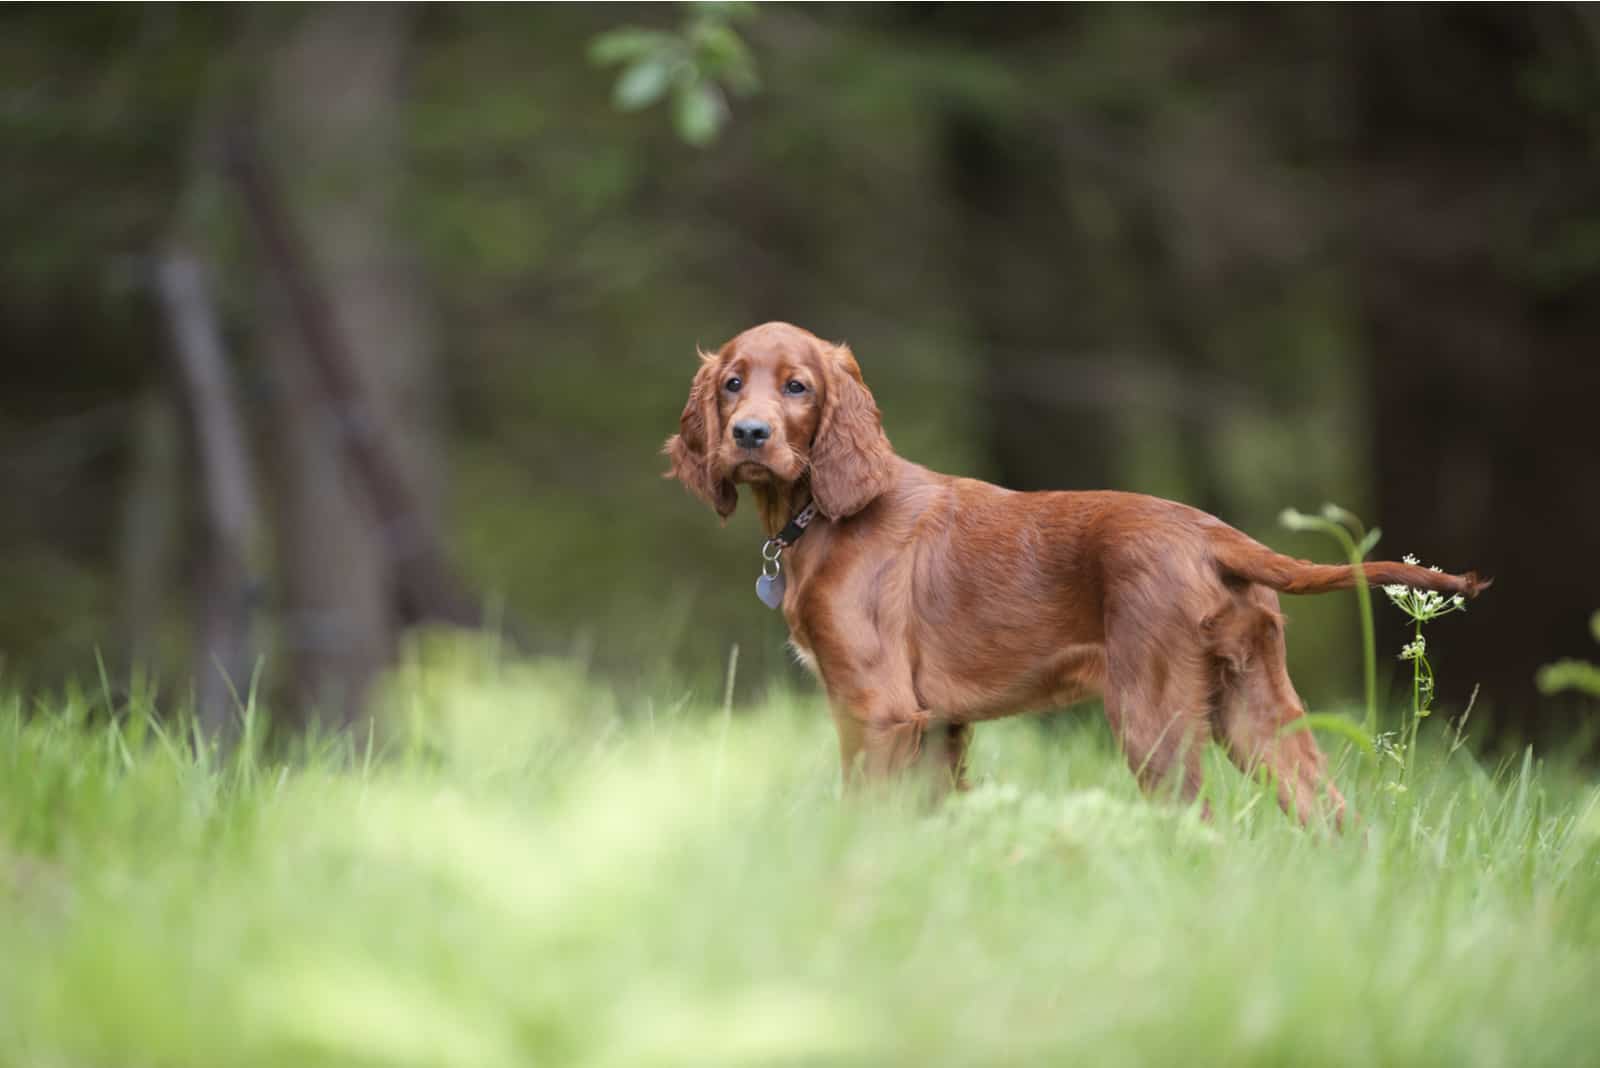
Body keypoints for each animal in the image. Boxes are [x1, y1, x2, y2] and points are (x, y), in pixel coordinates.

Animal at [662, 321, 1484, 824]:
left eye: (797, 386)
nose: (749, 435)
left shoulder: (878, 709)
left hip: (1153, 718)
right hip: (1257, 710)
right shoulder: (937, 725)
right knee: (1336, 817)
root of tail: (1215, 534)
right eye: (732, 383)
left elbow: (860, 817)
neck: (827, 514)